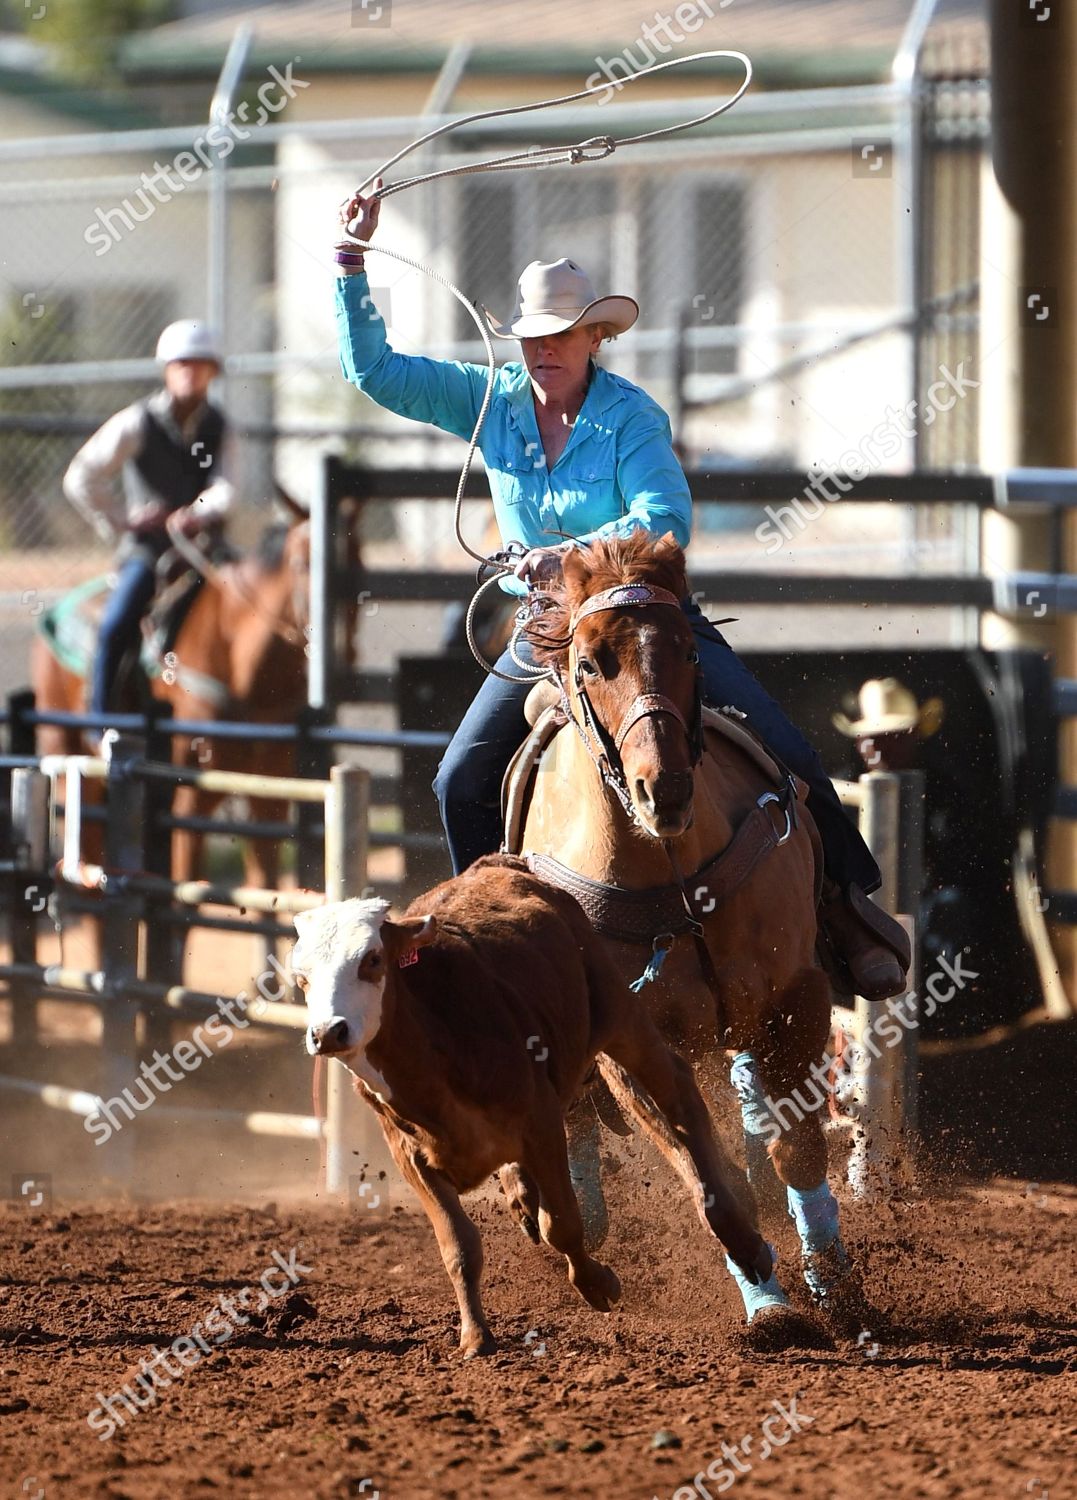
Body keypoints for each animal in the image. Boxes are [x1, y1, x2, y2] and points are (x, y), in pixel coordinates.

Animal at [291, 858, 774, 1362]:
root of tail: (498, 863)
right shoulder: (412, 1159)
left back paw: (743, 1240)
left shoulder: (539, 1123)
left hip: (620, 1012)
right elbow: (458, 1246)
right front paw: (475, 1336)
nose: (327, 1032)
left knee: (676, 1091)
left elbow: (561, 1224)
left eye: (371, 959)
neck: (435, 1041)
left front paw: (598, 1284)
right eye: (301, 978)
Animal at [522, 534, 876, 1344]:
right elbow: (708, 1178)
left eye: (687, 650)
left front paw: (831, 1280)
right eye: (591, 663)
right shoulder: (631, 1047)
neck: (675, 876)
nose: (667, 790)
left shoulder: (795, 996)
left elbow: (793, 1146)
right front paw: (765, 1295)